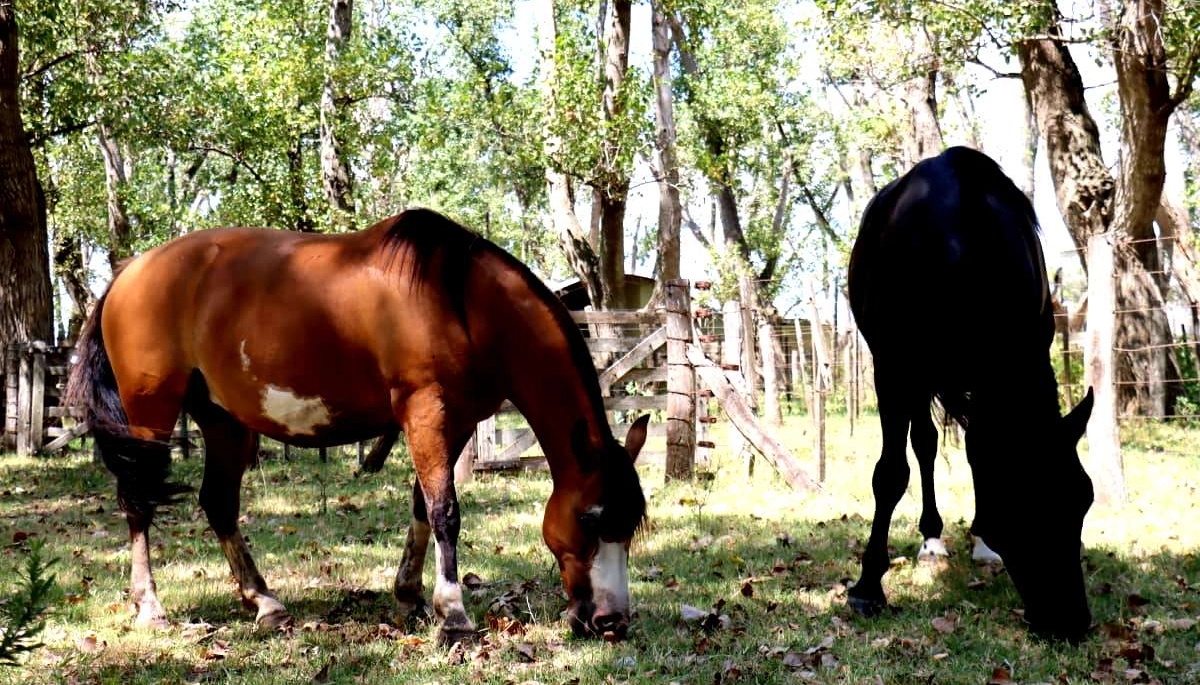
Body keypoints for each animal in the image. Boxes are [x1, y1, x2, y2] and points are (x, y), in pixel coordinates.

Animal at [64, 208, 649, 645]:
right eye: (591, 518)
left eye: (631, 524)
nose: (612, 622)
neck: (460, 299)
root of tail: (126, 274)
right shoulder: (425, 412)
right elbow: (446, 512)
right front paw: (454, 617)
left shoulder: (455, 420)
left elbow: (423, 505)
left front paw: (411, 597)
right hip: (151, 412)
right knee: (138, 501)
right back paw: (151, 606)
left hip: (222, 419)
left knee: (218, 503)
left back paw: (266, 603)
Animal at [845, 146, 1095, 642]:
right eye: (1023, 505)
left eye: (1084, 499)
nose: (1071, 622)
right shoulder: (893, 368)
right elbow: (891, 473)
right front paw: (868, 588)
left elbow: (979, 452)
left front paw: (983, 539)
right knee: (923, 445)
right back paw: (931, 537)